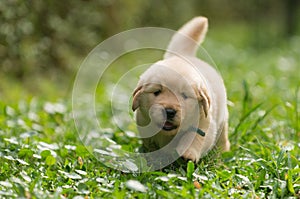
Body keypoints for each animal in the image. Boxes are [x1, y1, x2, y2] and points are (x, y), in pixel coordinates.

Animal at [131, 16, 230, 163]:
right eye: (157, 92)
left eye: (184, 95)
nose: (169, 112)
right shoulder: (143, 122)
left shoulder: (205, 122)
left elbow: (195, 137)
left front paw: (188, 154)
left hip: (222, 120)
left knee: (222, 139)